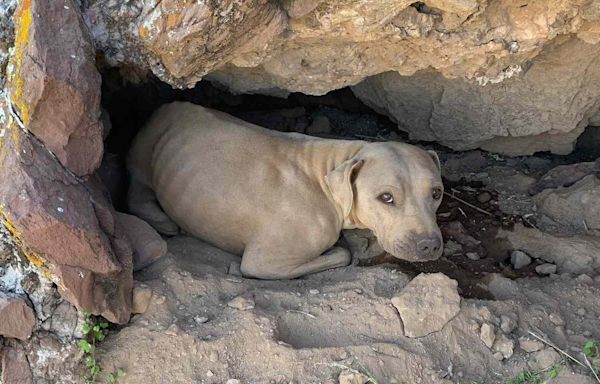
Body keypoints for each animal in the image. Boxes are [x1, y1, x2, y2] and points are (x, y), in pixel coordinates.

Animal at [127, 102, 446, 280]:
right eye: (386, 197)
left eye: (436, 193)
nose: (429, 245)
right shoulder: (263, 262)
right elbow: (341, 255)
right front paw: (339, 248)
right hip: (143, 159)